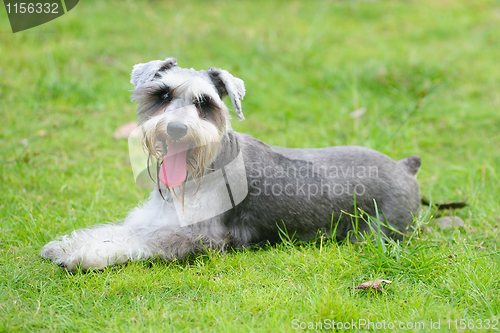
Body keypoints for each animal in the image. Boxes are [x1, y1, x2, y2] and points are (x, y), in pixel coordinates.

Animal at [41, 57, 420, 272]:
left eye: (204, 102)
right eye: (162, 94)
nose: (176, 129)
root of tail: (405, 166)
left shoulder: (200, 236)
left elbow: (141, 241)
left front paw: (84, 256)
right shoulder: (155, 217)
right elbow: (120, 230)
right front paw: (68, 245)